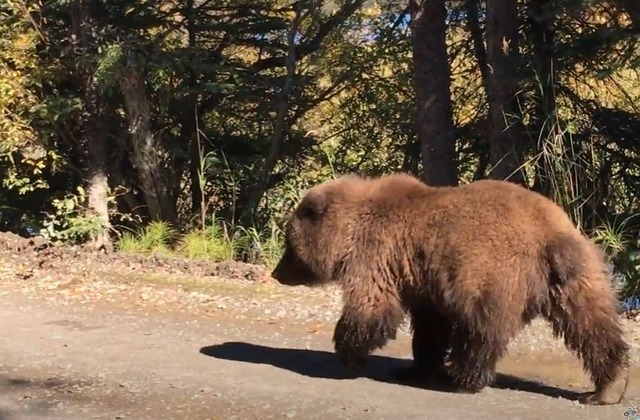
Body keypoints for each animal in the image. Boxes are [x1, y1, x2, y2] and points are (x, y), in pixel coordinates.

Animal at [270, 172, 632, 406]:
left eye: (289, 244)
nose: (276, 273)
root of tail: (550, 233)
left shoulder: (376, 253)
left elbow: (372, 307)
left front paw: (349, 354)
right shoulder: (422, 278)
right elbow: (430, 328)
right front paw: (413, 367)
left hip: (487, 270)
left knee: (481, 329)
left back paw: (463, 380)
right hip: (578, 277)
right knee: (593, 325)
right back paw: (606, 388)